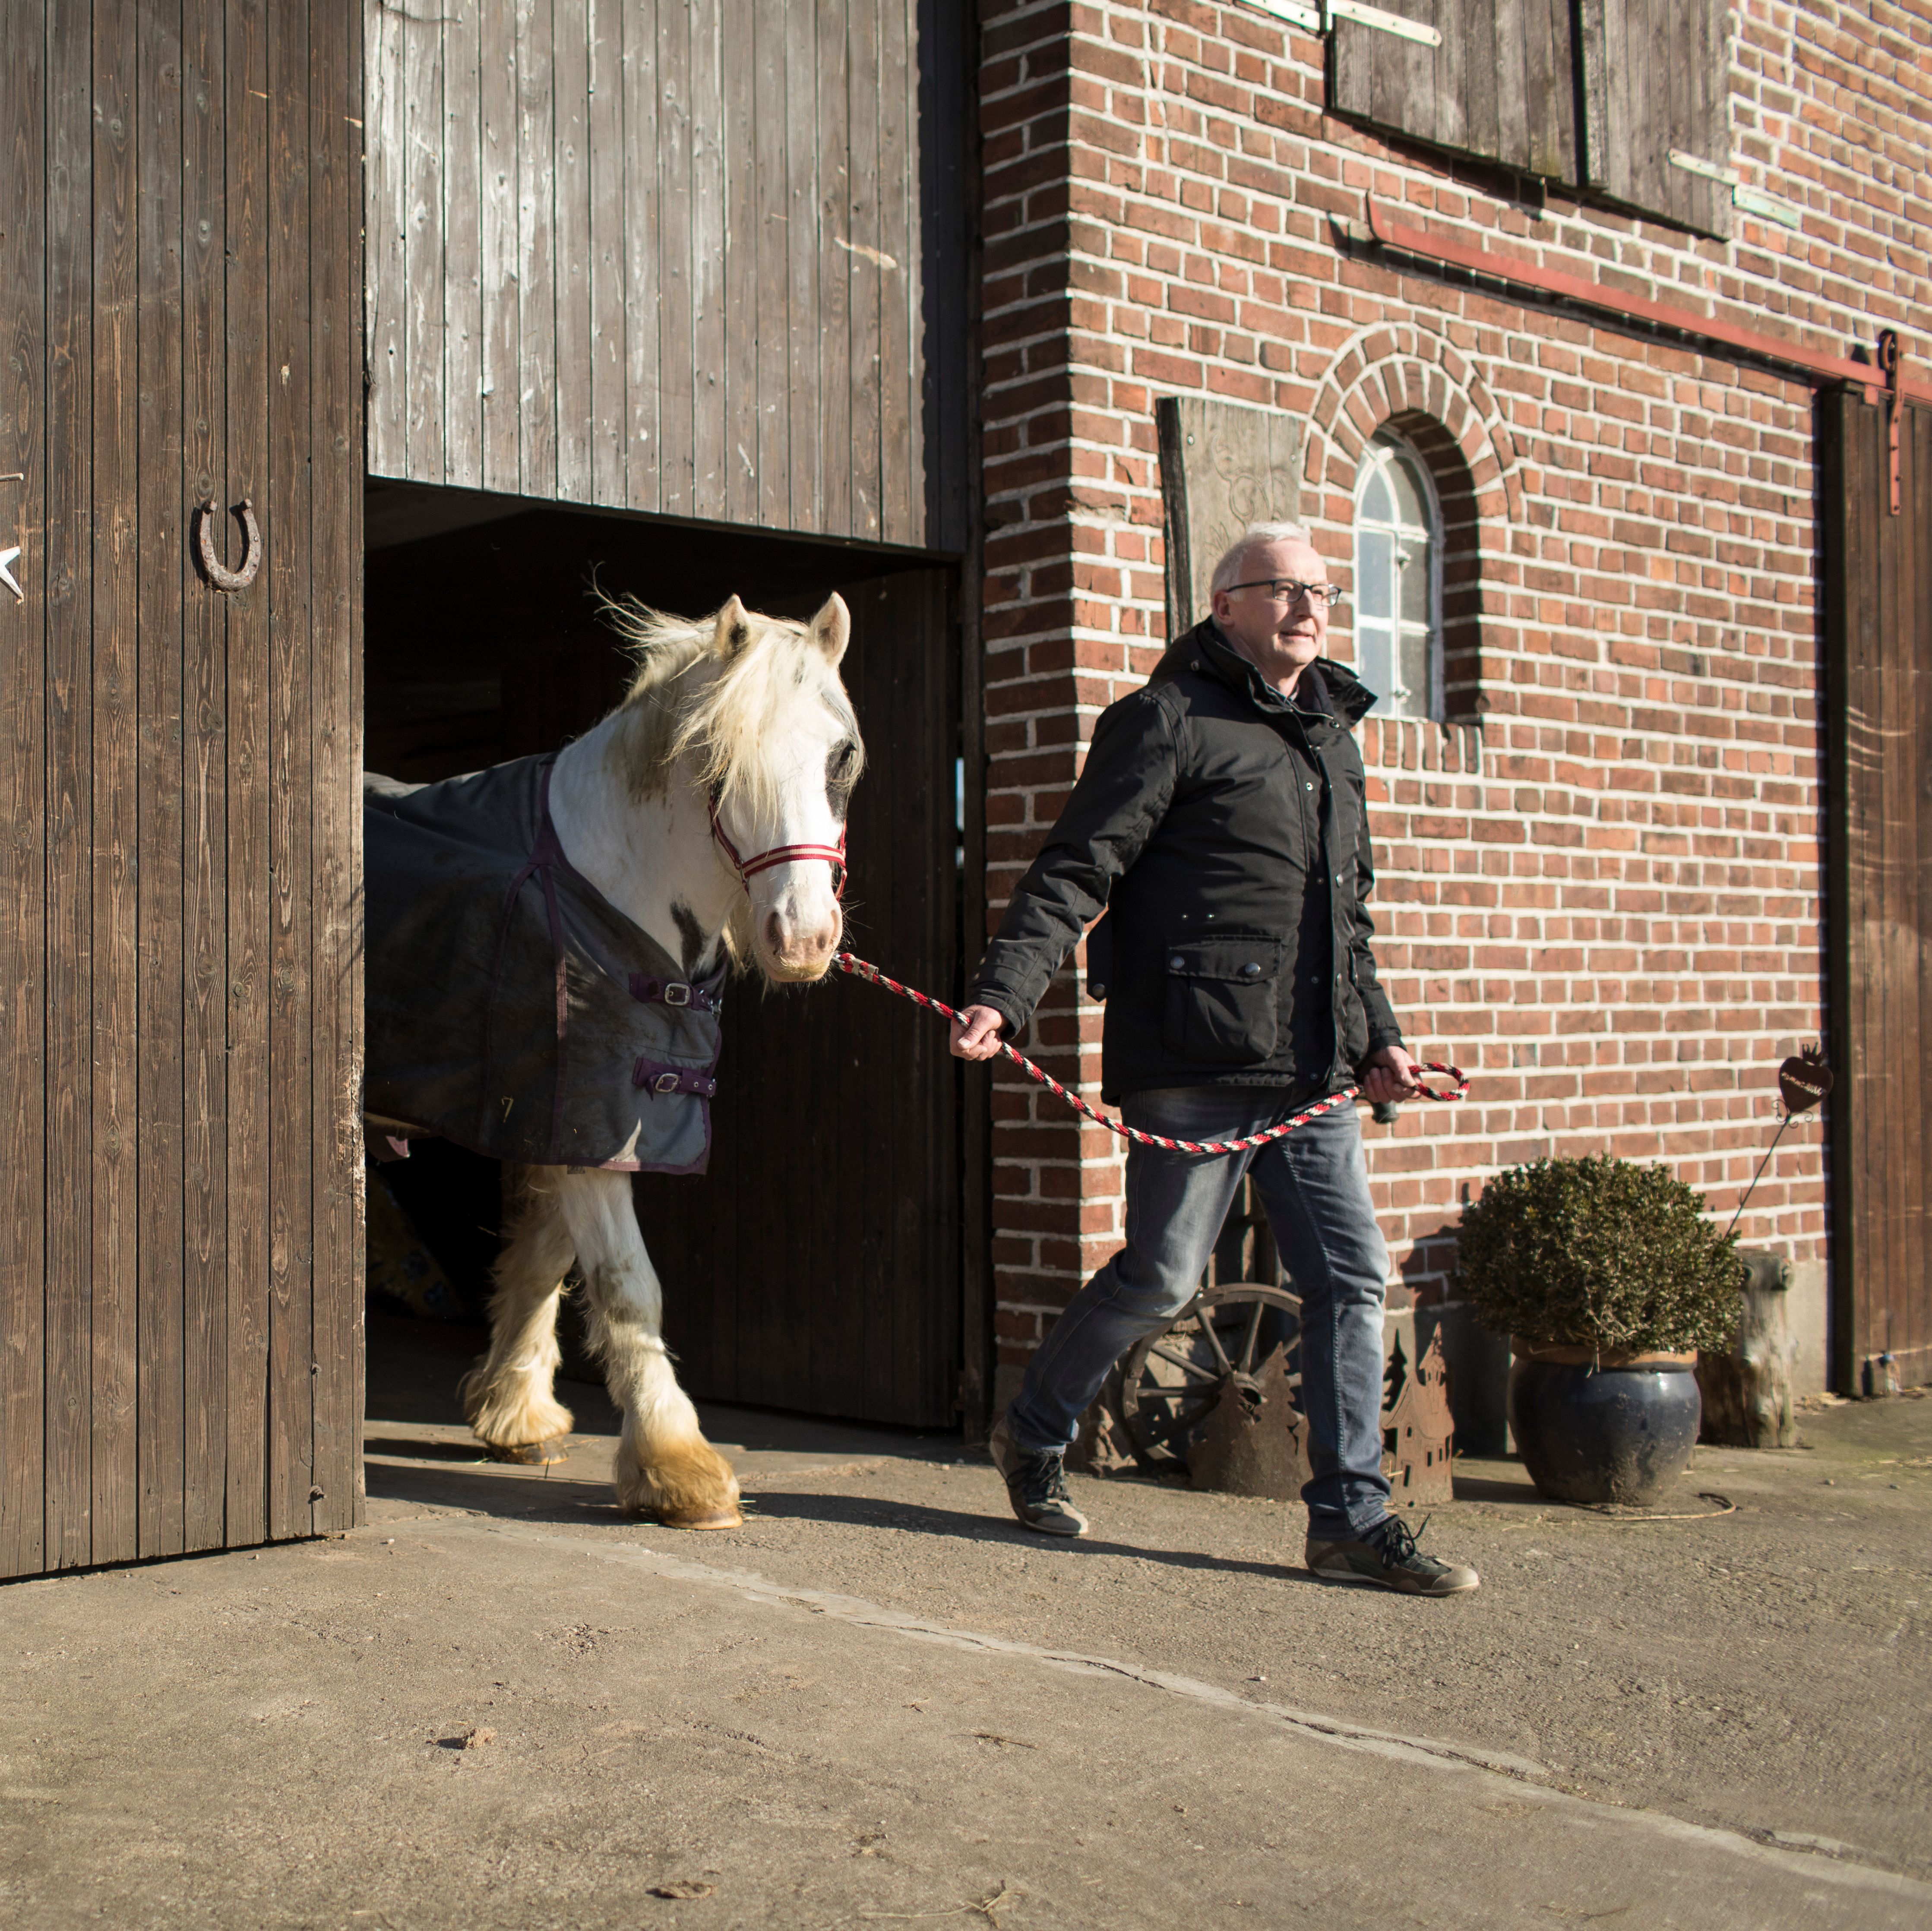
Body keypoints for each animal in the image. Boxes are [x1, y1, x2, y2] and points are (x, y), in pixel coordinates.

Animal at [454, 594, 861, 1529]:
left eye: (843, 755)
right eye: (717, 761)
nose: (803, 938)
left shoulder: (577, 1119)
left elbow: (546, 1258)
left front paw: (513, 1408)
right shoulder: (581, 1115)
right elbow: (625, 1282)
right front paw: (678, 1466)